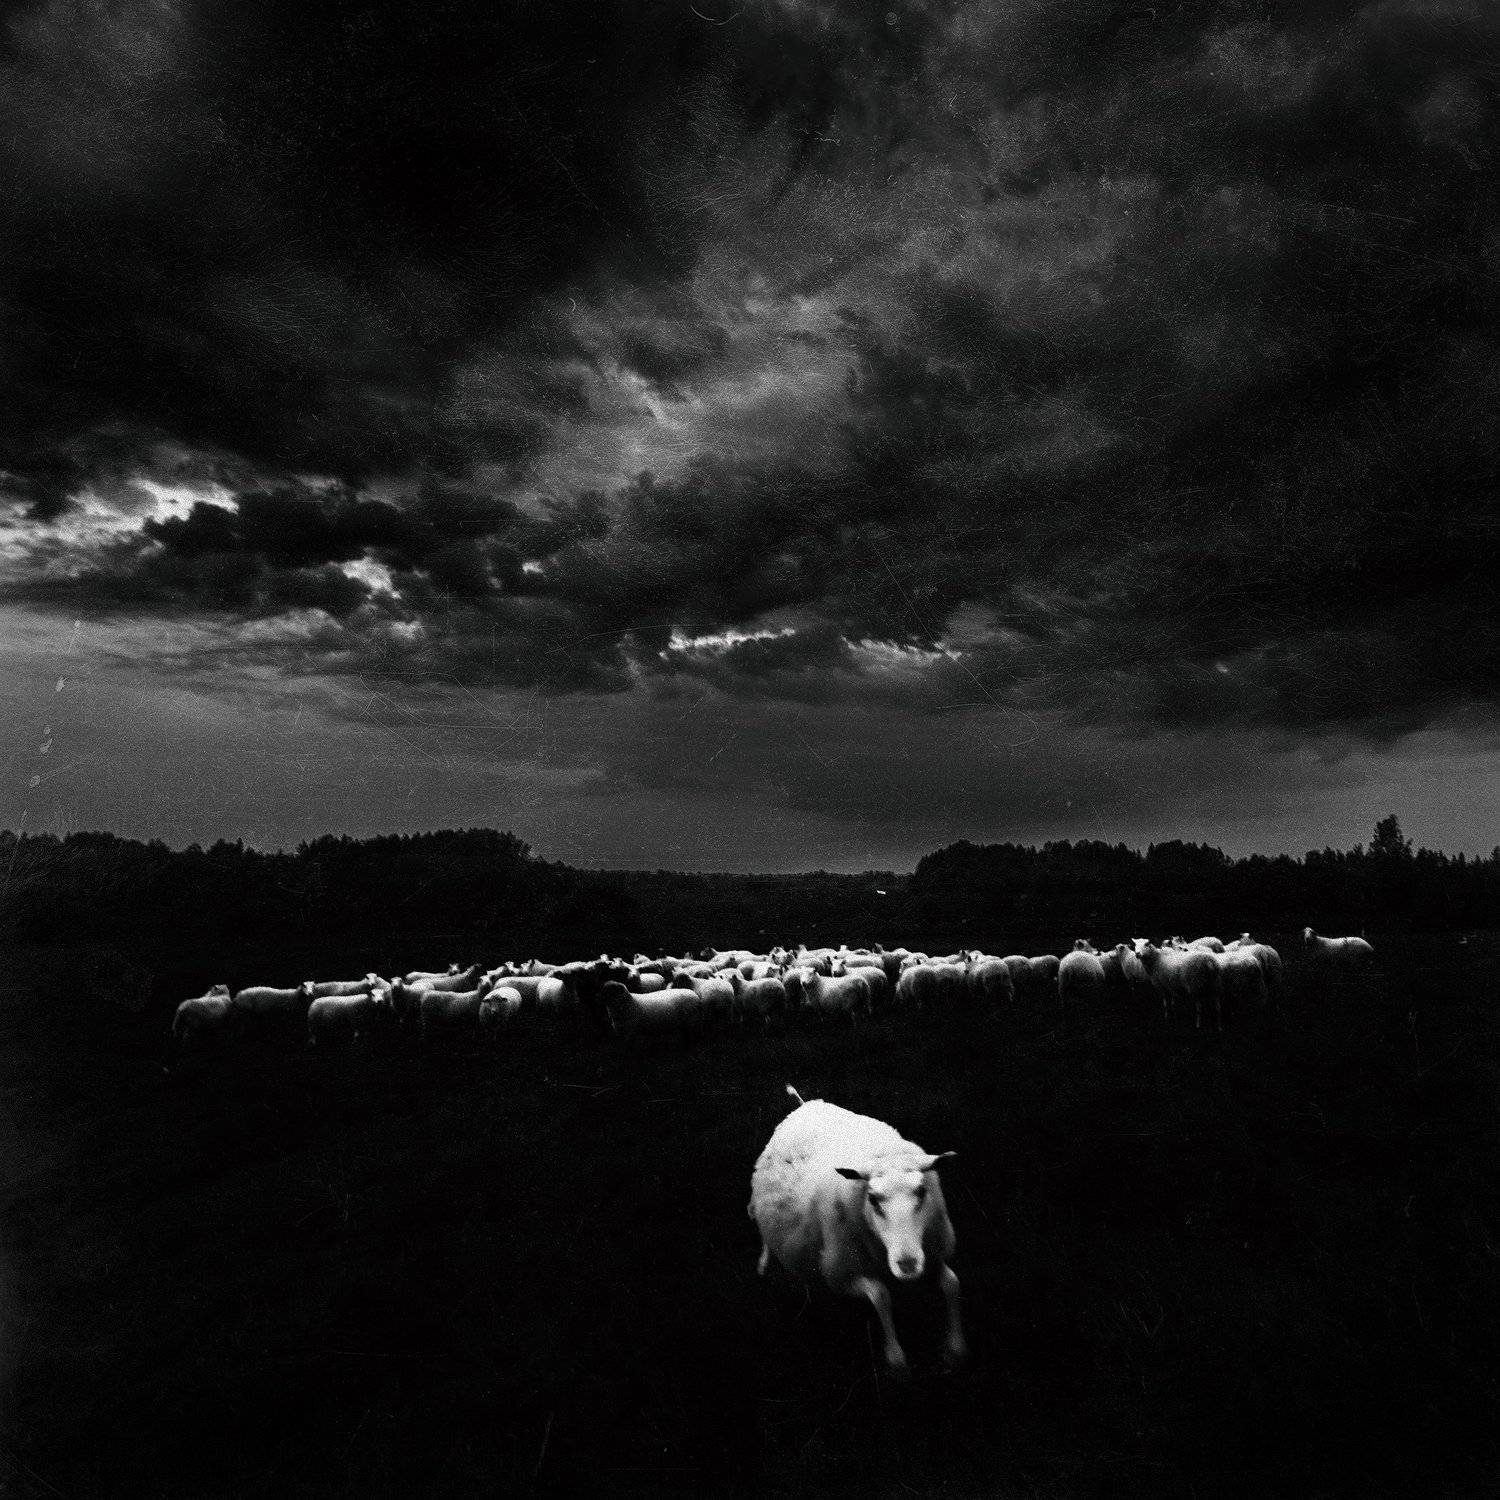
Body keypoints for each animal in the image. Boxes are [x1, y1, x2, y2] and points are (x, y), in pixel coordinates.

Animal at [748, 1086, 964, 1378]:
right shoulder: (841, 1275)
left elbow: (952, 1284)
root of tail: (806, 1105)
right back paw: (763, 1266)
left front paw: (954, 1349)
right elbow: (881, 1296)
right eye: (872, 1198)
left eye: (921, 1191)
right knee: (767, 1242)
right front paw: (896, 1359)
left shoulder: (932, 1256)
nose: (907, 1264)